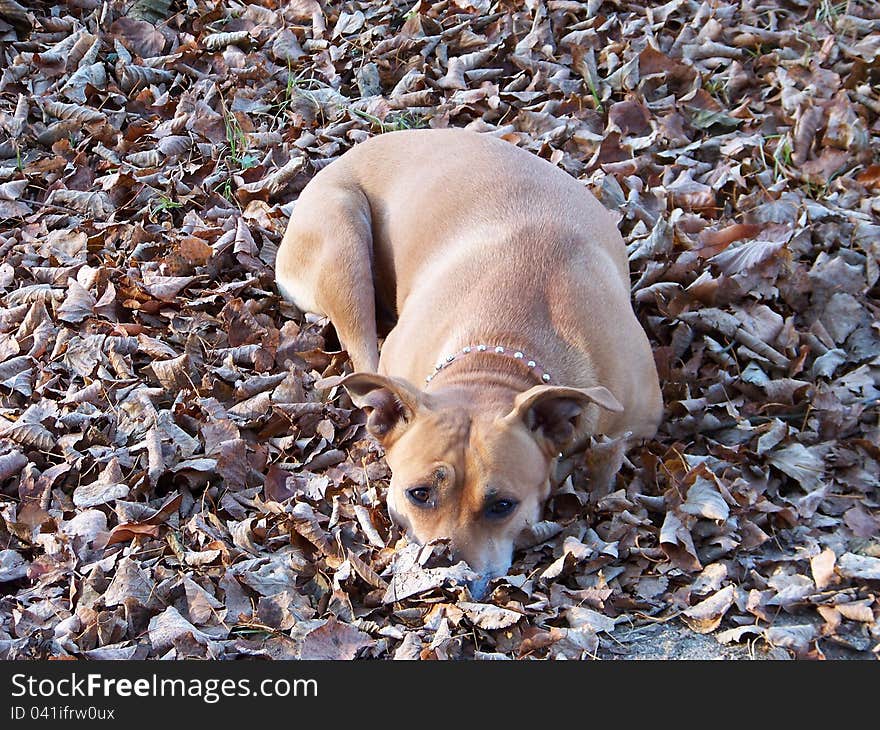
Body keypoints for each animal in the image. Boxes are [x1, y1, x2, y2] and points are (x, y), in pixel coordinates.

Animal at [276, 128, 660, 596]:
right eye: (419, 493)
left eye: (503, 505)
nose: (446, 574)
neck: (499, 354)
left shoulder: (638, 423)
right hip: (342, 243)